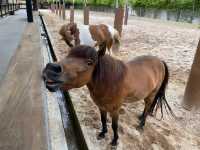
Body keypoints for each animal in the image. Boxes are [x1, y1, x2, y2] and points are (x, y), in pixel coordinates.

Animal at [43, 45, 174, 146]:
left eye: (89, 62)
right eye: (68, 55)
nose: (51, 68)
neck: (110, 82)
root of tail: (160, 61)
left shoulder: (115, 110)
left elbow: (115, 126)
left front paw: (115, 141)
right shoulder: (101, 106)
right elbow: (103, 120)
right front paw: (102, 133)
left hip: (151, 94)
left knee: (147, 106)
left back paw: (141, 125)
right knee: (147, 107)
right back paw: (141, 117)